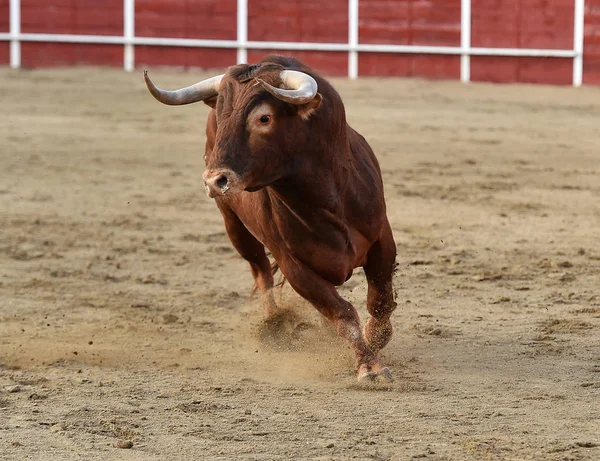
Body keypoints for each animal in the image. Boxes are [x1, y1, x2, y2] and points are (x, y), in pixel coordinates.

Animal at [144, 54, 398, 380]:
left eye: (263, 118)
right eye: (221, 115)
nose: (214, 181)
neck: (327, 201)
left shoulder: (382, 239)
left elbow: (380, 302)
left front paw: (375, 338)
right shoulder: (295, 267)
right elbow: (341, 312)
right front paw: (369, 365)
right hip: (234, 226)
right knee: (261, 270)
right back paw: (275, 322)